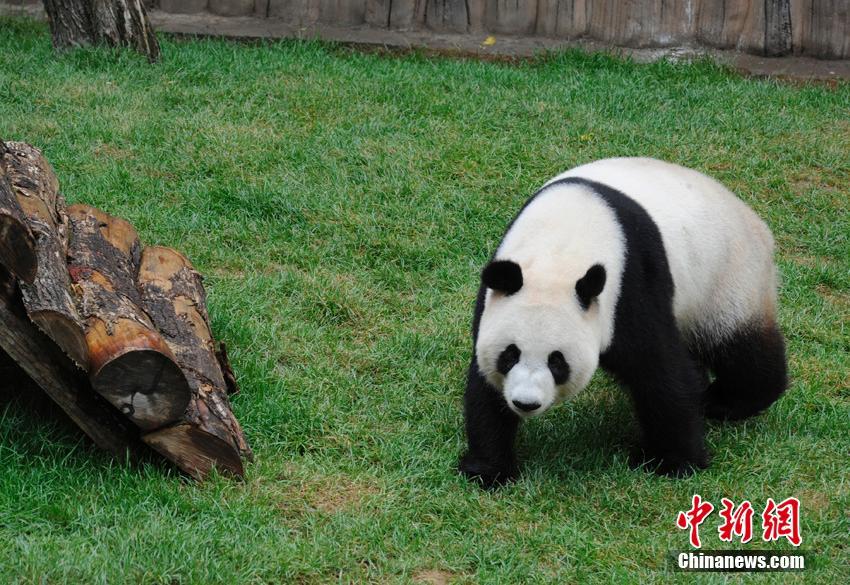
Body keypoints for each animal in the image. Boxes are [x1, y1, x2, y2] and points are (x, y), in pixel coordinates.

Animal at [459, 157, 788, 486]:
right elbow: (484, 387)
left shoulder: (631, 286)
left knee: (740, 349)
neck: (558, 249)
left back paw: (728, 401)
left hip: (727, 281)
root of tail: (756, 222)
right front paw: (487, 469)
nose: (526, 403)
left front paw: (674, 462)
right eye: (509, 355)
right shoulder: (492, 301)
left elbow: (660, 372)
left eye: (557, 361)